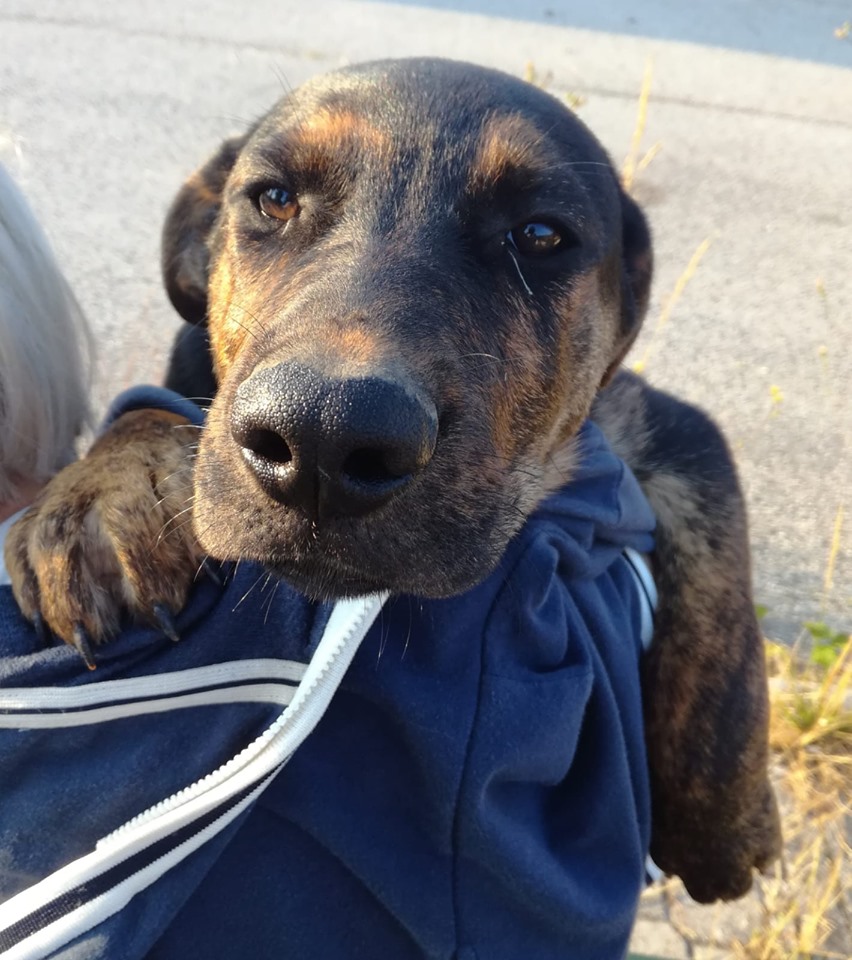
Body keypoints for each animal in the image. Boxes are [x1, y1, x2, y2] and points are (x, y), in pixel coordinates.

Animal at [6, 58, 780, 900]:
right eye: (274, 198)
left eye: (541, 235)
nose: (323, 438)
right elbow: (159, 410)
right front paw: (107, 494)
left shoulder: (650, 417)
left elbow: (718, 529)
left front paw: (728, 820)